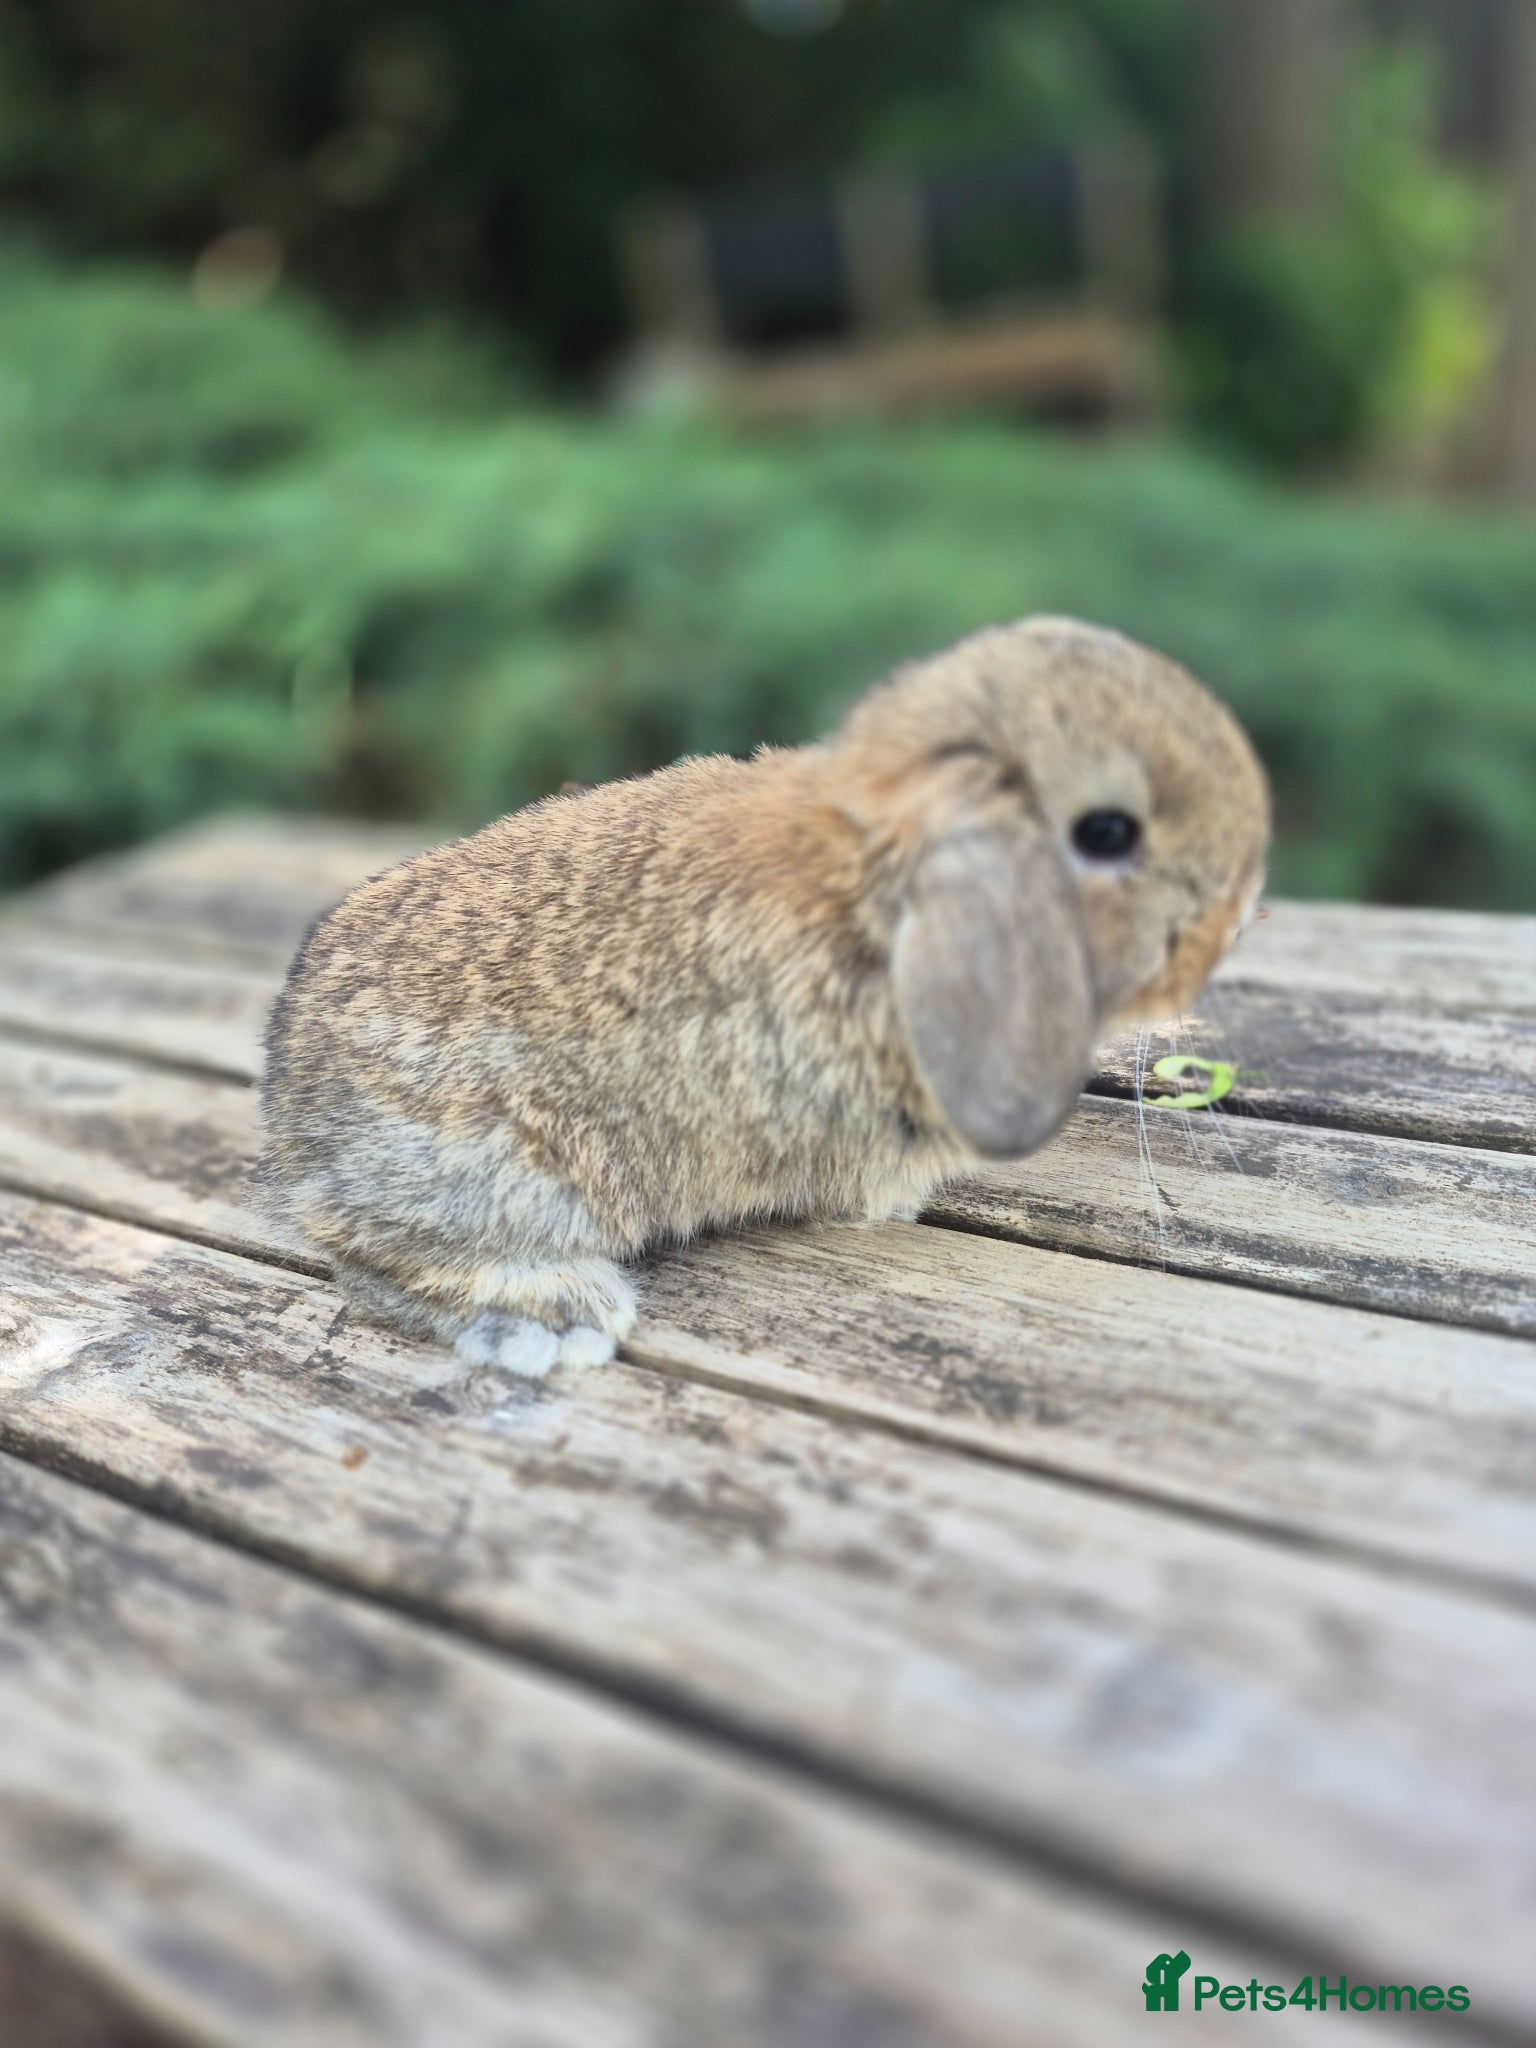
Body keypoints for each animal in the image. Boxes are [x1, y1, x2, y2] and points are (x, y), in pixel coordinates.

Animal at [257, 617, 1270, 1378]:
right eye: (1107, 834)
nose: (1241, 912)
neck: (879, 903)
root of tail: (292, 1125)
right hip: (510, 1177)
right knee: (373, 1261)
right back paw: (558, 1321)